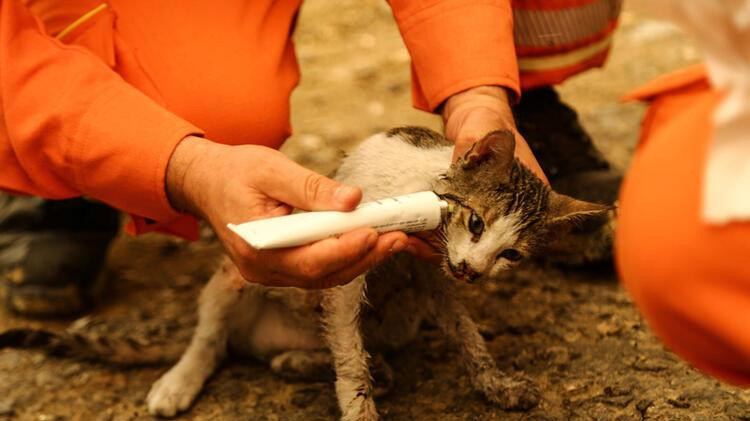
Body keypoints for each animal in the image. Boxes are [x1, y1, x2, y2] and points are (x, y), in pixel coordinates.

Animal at [0, 126, 612, 418]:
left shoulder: (434, 279)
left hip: (399, 319)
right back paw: (180, 379)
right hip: (234, 276)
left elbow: (467, 335)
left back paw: (302, 361)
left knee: (342, 351)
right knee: (211, 339)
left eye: (513, 254)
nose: (473, 272)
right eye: (477, 221)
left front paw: (495, 383)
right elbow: (350, 364)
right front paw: (361, 411)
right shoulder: (346, 276)